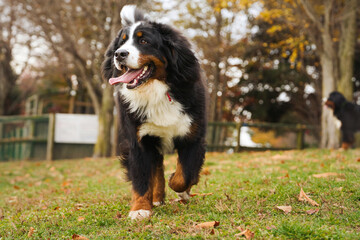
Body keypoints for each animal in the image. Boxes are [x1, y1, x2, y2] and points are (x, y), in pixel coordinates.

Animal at [102, 4, 208, 220]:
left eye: (144, 41)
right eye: (121, 42)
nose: (119, 54)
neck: (156, 91)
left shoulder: (192, 135)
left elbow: (184, 175)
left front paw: (182, 188)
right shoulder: (139, 141)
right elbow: (142, 176)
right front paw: (140, 208)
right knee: (156, 168)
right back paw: (156, 198)